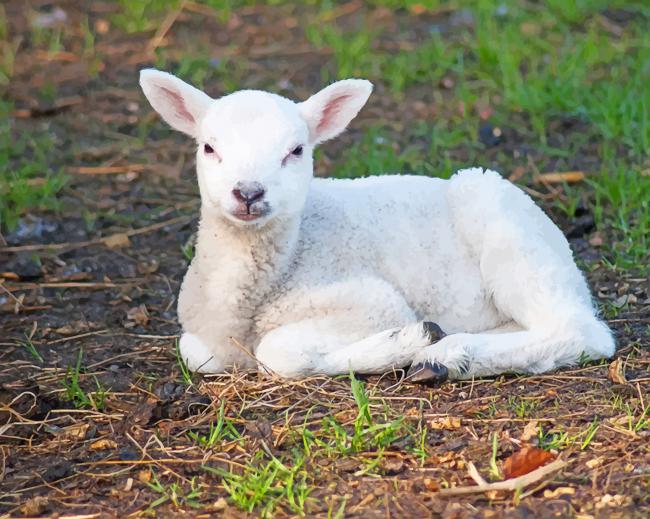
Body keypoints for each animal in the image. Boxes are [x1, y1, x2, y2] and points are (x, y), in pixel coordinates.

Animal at [139, 69, 615, 383]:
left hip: (508, 233)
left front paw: (405, 342)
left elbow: (278, 353)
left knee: (580, 330)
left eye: (296, 150)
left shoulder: (371, 301)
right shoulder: (202, 335)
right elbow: (194, 353)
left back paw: (447, 356)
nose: (249, 193)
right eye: (208, 147)